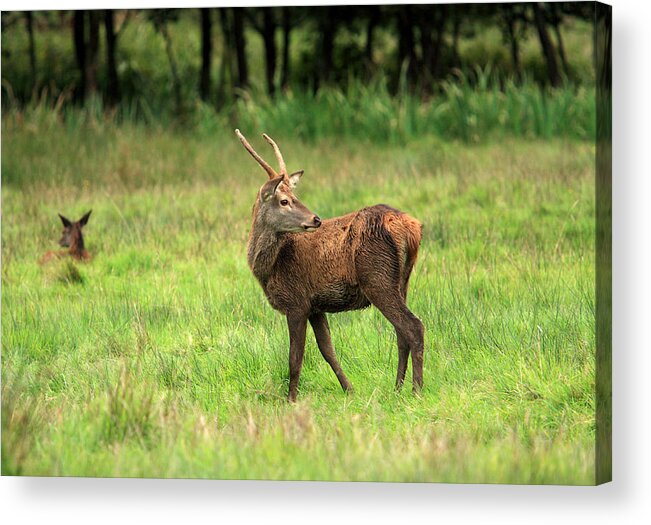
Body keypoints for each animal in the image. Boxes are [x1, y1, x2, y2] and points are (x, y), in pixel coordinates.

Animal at [237, 129, 426, 400]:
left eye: (294, 197)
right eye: (284, 201)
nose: (315, 219)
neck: (269, 268)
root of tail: (412, 228)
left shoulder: (296, 302)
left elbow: (295, 358)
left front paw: (291, 400)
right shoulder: (315, 306)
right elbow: (328, 350)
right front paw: (349, 389)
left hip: (377, 277)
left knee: (413, 326)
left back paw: (416, 390)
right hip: (403, 279)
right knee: (401, 332)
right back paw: (397, 388)